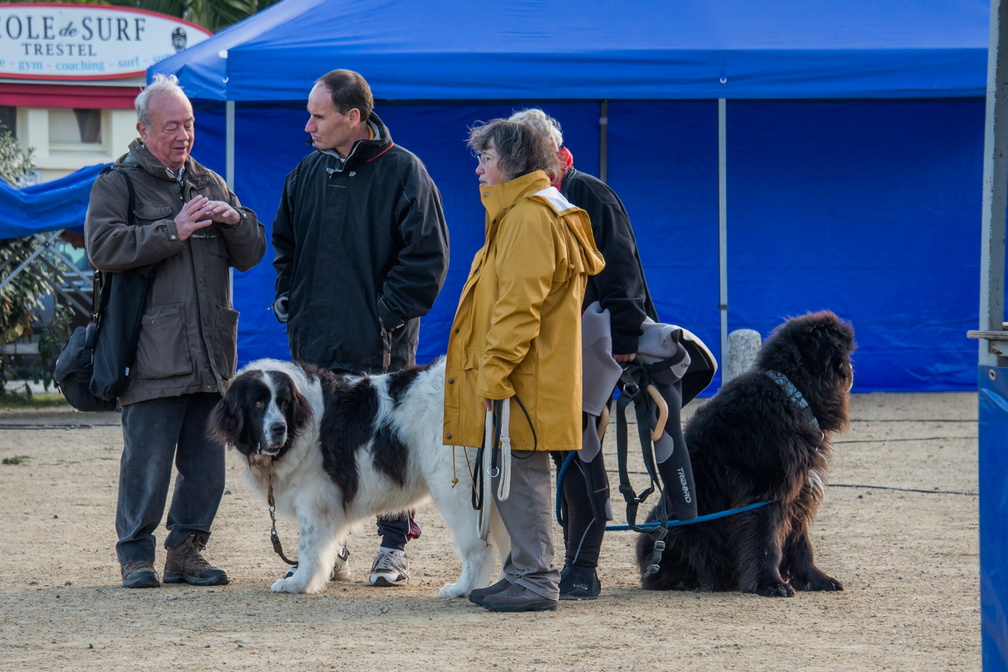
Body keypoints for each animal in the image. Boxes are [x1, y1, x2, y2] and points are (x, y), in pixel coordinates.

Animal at [206, 360, 504, 596]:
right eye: (258, 403)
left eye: (283, 402)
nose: (279, 428)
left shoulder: (315, 499)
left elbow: (309, 547)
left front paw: (298, 583)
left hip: (457, 489)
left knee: (478, 547)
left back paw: (463, 588)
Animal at [633, 312, 854, 600]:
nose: (852, 369)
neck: (792, 393)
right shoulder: (763, 495)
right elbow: (767, 543)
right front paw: (771, 584)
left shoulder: (798, 491)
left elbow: (800, 543)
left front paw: (814, 579)